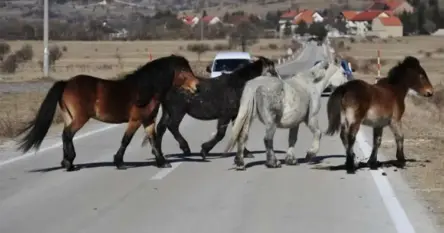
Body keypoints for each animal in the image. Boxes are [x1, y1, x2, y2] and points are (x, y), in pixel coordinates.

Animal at [15, 54, 199, 171]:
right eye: (183, 71)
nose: (196, 86)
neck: (146, 89)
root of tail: (66, 83)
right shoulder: (136, 120)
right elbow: (126, 140)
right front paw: (119, 163)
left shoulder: (148, 121)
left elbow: (153, 140)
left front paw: (162, 162)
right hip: (80, 118)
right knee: (67, 134)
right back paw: (69, 163)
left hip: (69, 116)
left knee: (65, 135)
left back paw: (68, 162)